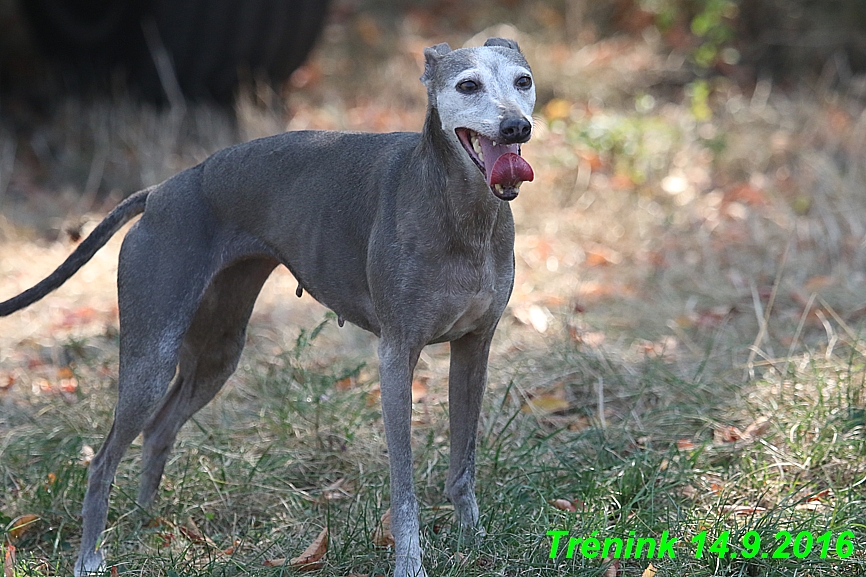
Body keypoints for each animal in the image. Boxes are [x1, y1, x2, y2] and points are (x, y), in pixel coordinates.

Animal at [0, 38, 532, 572]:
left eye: (523, 81)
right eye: (467, 85)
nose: (516, 127)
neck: (461, 211)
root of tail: (160, 193)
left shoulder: (474, 349)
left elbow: (463, 465)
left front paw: (475, 543)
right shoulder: (397, 356)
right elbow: (403, 488)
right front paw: (410, 563)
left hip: (216, 352)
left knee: (157, 432)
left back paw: (147, 526)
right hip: (152, 357)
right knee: (102, 458)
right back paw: (91, 556)